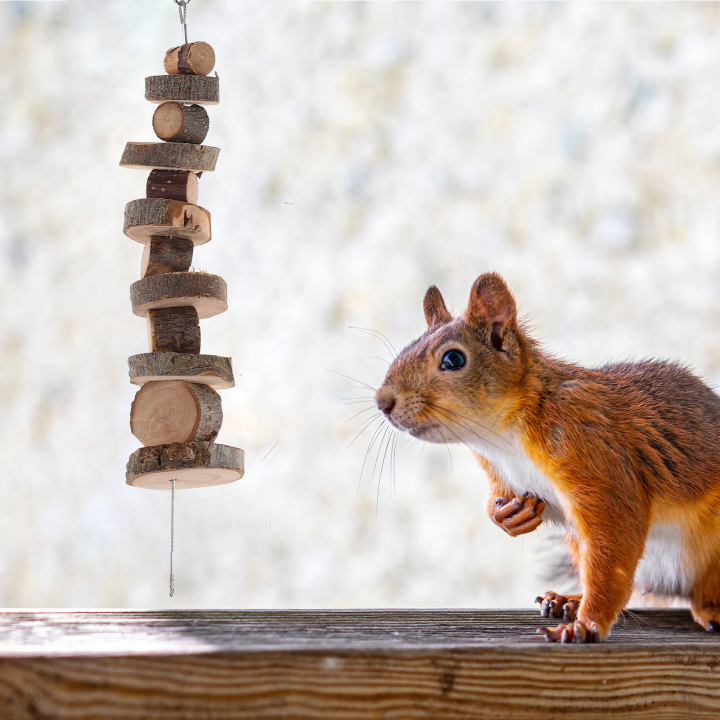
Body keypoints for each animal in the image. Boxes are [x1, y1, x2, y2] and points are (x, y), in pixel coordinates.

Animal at [374, 274, 720, 640]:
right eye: (405, 349)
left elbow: (613, 545)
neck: (502, 437)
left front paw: (586, 625)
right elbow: (499, 499)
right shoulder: (500, 472)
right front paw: (507, 515)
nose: (382, 402)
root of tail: (670, 587)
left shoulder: (594, 457)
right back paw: (567, 600)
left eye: (453, 360)